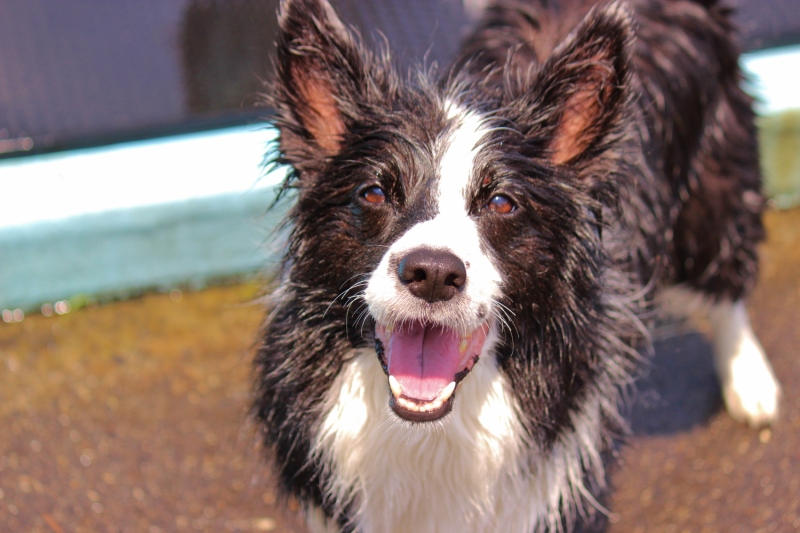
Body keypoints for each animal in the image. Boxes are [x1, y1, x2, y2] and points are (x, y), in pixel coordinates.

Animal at [255, 1, 780, 528]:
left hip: (712, 197)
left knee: (728, 281)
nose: (433, 274)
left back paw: (751, 384)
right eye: (374, 193)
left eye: (502, 202)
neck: (432, 430)